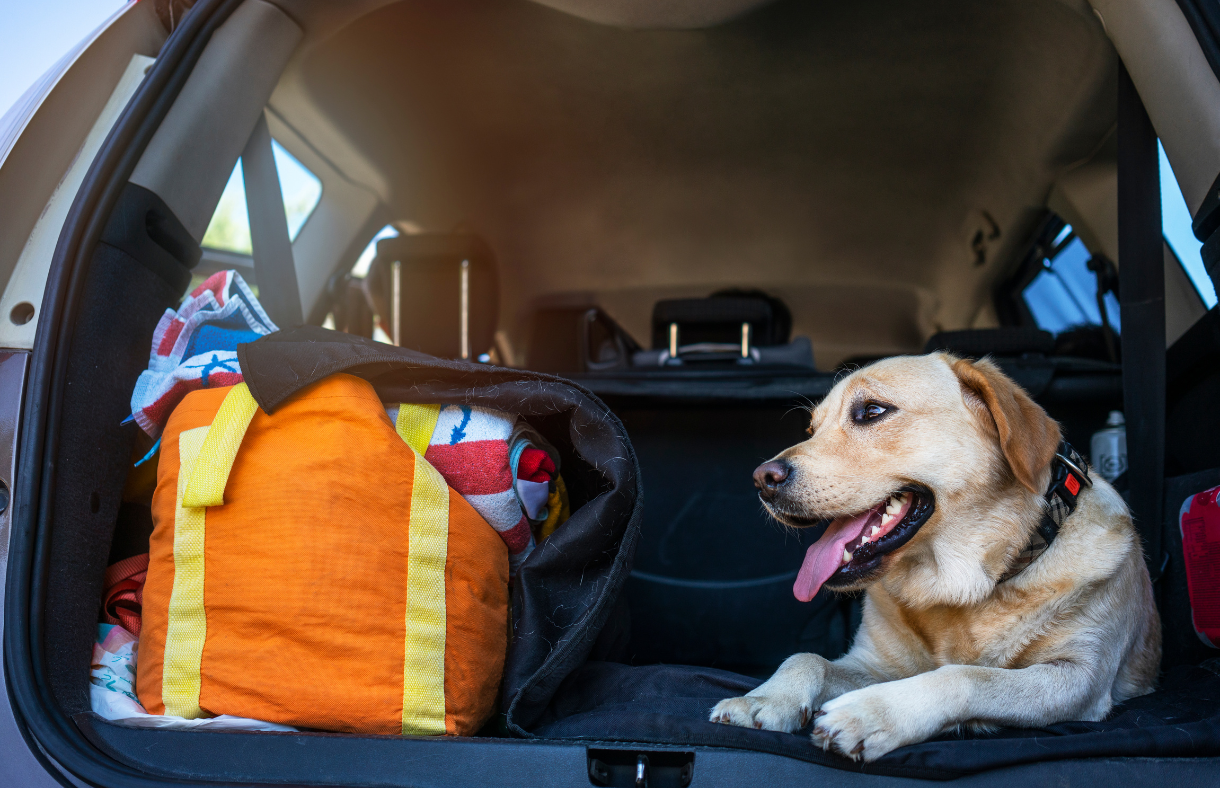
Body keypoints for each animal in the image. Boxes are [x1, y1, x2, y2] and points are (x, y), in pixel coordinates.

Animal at [712, 356, 1156, 761]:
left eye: (872, 411)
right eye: (811, 429)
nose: (762, 479)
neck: (959, 588)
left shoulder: (1080, 677)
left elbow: (965, 675)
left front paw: (872, 713)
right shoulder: (875, 664)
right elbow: (808, 658)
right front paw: (765, 698)